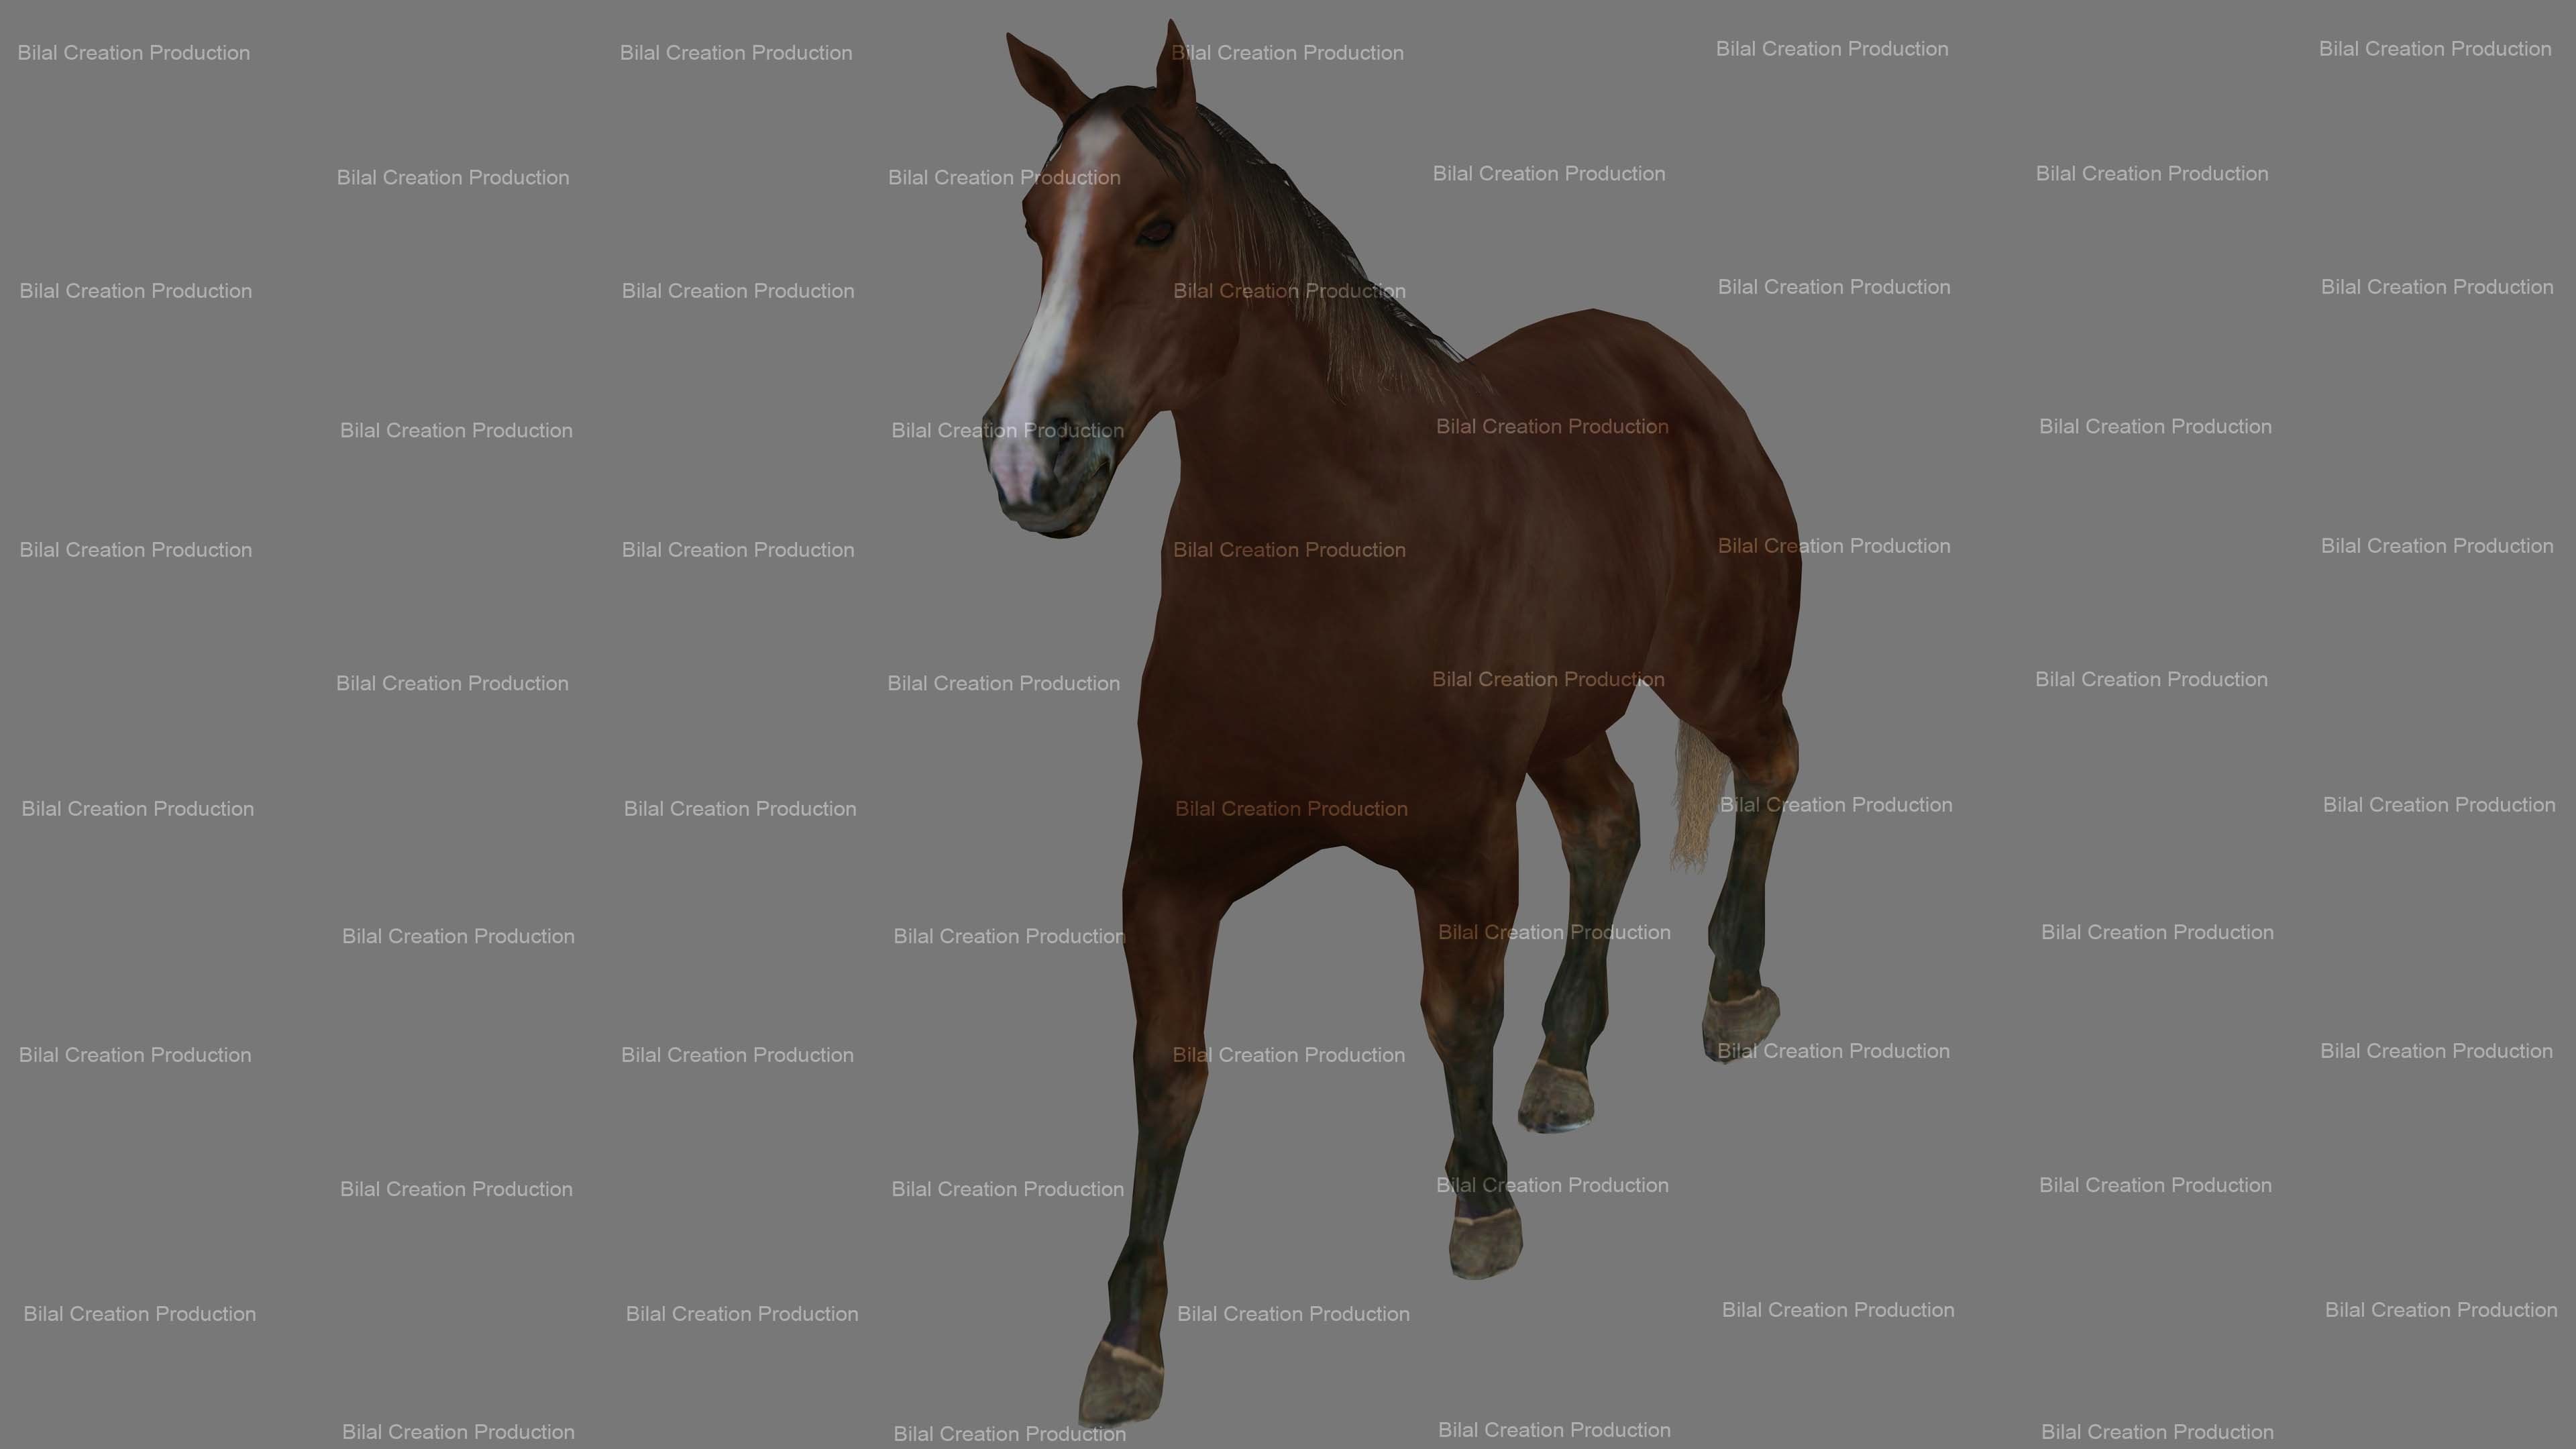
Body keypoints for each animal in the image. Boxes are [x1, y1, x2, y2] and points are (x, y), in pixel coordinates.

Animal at [978, 24, 1804, 1425]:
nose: (1033, 461)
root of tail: (1673, 366)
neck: (1333, 561)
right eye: (1035, 219)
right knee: (1611, 828)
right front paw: (1128, 1338)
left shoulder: (1460, 847)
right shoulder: (1173, 867)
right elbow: (1168, 1069)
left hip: (1721, 677)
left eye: (1157, 226)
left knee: (1771, 769)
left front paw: (1483, 1211)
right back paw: (1566, 1063)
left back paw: (1735, 995)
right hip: (1572, 725)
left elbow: (1453, 1012)